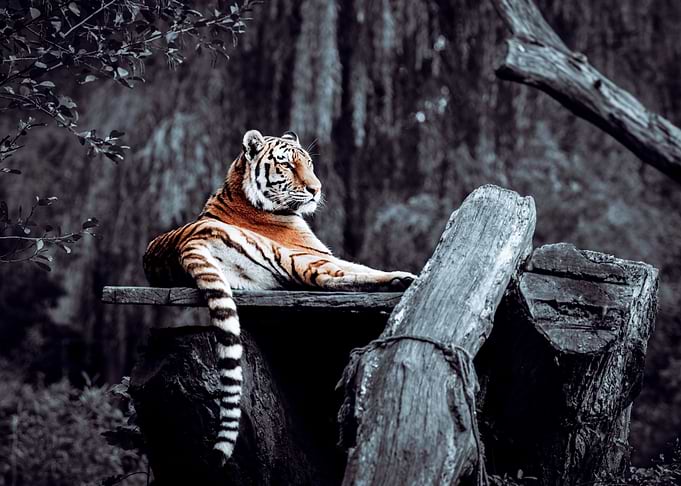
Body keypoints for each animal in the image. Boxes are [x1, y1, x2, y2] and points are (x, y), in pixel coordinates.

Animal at [142, 129, 417, 461]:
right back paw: (401, 279)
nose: (316, 190)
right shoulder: (317, 253)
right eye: (286, 165)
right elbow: (356, 267)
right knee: (331, 279)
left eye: (309, 163)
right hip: (296, 258)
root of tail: (184, 245)